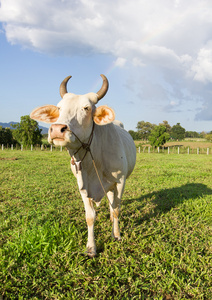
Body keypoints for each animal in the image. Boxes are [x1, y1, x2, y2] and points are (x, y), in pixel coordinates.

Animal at [29, 75, 136, 258]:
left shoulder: (121, 181)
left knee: (114, 204)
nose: (57, 129)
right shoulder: (83, 186)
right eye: (59, 108)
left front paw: (116, 235)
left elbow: (117, 209)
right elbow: (90, 217)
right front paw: (91, 247)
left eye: (86, 108)